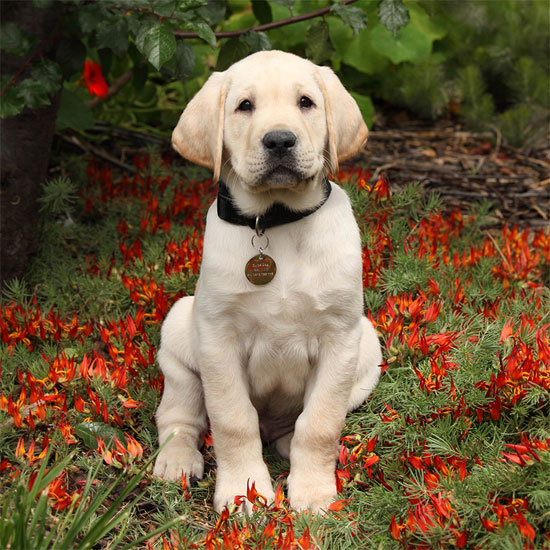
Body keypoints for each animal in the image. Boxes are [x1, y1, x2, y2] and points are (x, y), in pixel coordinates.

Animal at [153, 49, 382, 516]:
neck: (275, 220)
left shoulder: (340, 338)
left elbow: (320, 423)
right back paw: (177, 459)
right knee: (179, 416)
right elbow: (233, 421)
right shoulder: (219, 341)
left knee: (298, 427)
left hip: (368, 348)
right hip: (179, 334)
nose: (279, 141)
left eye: (306, 103)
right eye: (245, 106)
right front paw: (244, 491)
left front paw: (313, 492)